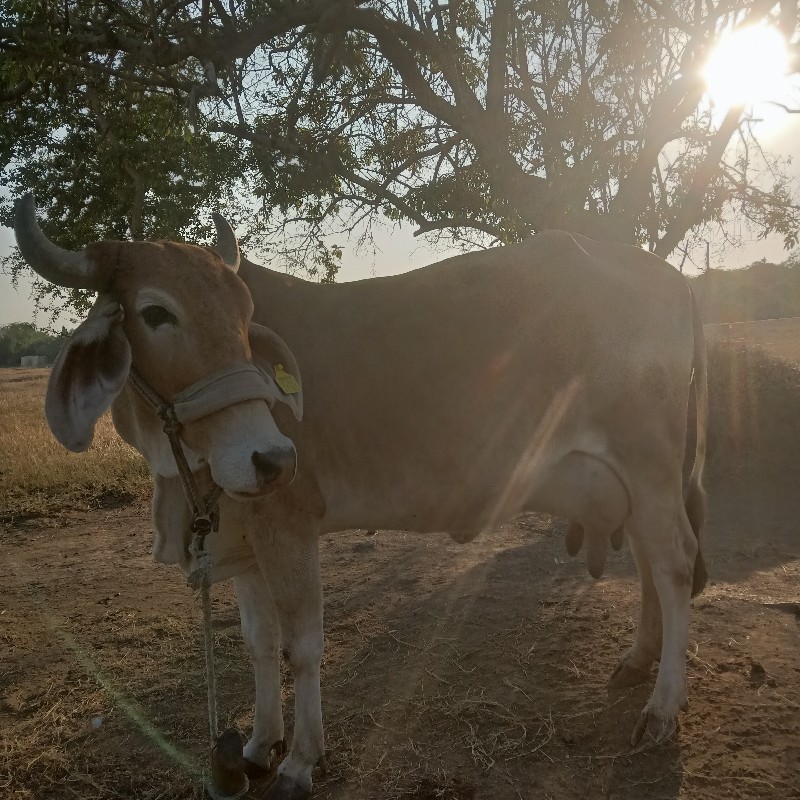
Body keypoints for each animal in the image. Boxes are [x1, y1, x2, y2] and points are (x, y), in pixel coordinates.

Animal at [14, 194, 708, 800]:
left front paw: (299, 760)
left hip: (649, 465)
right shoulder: (243, 534)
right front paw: (257, 747)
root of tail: (670, 278)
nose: (272, 457)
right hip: (632, 481)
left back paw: (662, 706)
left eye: (245, 317)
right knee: (649, 563)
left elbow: (303, 644)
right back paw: (638, 661)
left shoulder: (289, 520)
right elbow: (258, 643)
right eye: (156, 312)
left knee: (674, 566)